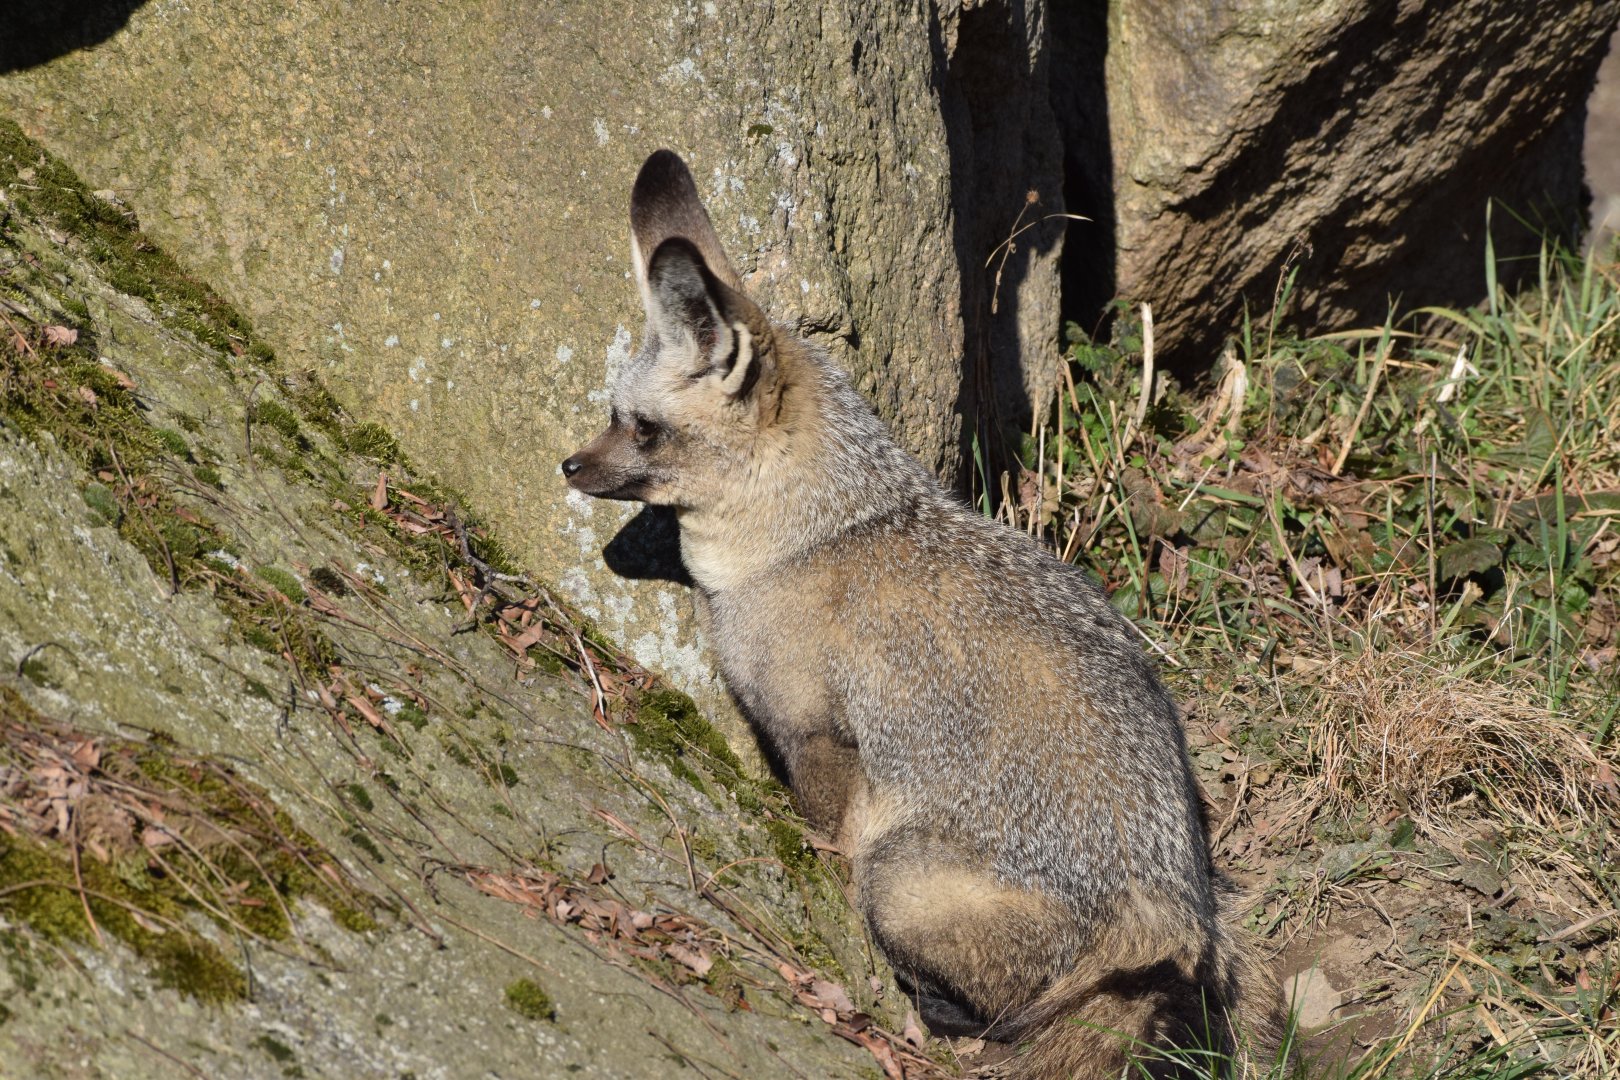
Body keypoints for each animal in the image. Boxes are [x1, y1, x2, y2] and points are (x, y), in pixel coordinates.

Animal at [562, 149, 1285, 1078]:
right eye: (613, 415)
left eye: (642, 429)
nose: (570, 465)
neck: (821, 533)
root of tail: (1172, 926)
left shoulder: (816, 735)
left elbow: (821, 833)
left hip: (899, 878)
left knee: (996, 1004)